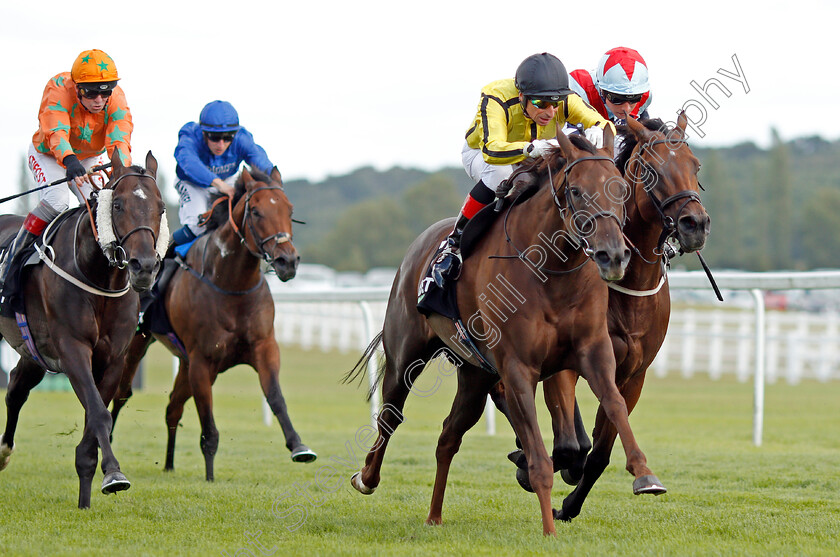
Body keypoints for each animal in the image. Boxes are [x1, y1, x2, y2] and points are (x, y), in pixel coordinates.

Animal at [0, 152, 169, 508]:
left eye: (161, 207)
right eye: (117, 205)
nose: (145, 267)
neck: (99, 277)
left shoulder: (113, 359)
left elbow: (95, 414)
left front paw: (93, 487)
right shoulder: (72, 348)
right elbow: (99, 414)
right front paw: (114, 473)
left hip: (33, 351)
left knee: (16, 388)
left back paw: (4, 452)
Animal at [106, 166, 314, 482]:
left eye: (289, 210)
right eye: (255, 211)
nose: (287, 261)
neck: (231, 284)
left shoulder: (263, 347)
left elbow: (275, 396)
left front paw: (298, 446)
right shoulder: (203, 362)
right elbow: (209, 425)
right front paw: (210, 477)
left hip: (185, 362)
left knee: (173, 407)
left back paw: (169, 464)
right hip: (137, 345)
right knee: (122, 394)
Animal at [344, 127, 668, 536]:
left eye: (622, 189)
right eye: (577, 191)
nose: (613, 255)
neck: (552, 275)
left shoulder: (595, 355)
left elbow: (613, 406)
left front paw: (645, 474)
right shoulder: (518, 368)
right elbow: (541, 456)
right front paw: (548, 527)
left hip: (474, 372)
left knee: (448, 436)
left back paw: (434, 515)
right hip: (407, 351)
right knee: (390, 414)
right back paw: (366, 477)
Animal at [506, 111, 708, 520]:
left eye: (695, 166)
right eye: (652, 171)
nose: (695, 224)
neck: (628, 288)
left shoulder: (631, 374)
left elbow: (600, 450)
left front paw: (570, 504)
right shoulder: (566, 362)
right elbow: (571, 445)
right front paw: (538, 467)